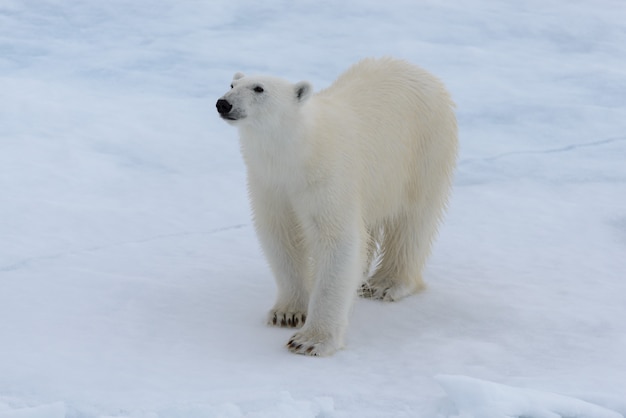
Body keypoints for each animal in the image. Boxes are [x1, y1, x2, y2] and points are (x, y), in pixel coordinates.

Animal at [217, 58, 456, 356]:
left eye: (259, 88)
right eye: (231, 84)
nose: (223, 104)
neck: (298, 153)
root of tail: (422, 72)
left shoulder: (327, 177)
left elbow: (337, 241)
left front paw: (310, 340)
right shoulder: (270, 184)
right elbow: (281, 237)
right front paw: (287, 313)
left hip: (423, 150)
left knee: (412, 220)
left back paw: (386, 284)